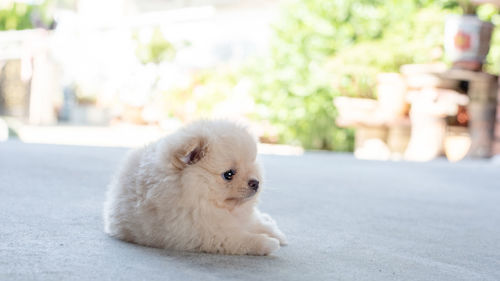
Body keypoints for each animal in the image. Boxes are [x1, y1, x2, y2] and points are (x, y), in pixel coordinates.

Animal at [102, 119, 286, 255]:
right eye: (229, 174)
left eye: (251, 165)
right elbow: (244, 239)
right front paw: (269, 243)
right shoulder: (208, 234)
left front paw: (278, 235)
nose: (256, 183)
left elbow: (256, 223)